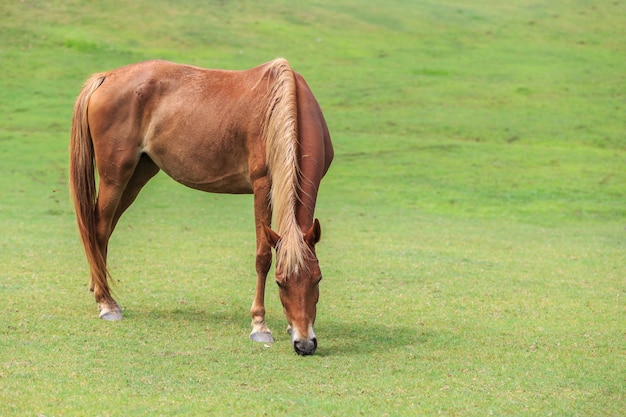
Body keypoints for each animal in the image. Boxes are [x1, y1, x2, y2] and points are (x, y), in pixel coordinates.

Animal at [68, 57, 332, 352]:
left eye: (318, 278)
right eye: (280, 282)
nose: (305, 344)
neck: (283, 103)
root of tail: (105, 77)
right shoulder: (263, 185)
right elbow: (263, 256)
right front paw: (259, 325)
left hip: (138, 174)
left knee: (103, 230)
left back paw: (99, 290)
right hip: (115, 177)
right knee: (100, 229)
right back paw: (106, 303)